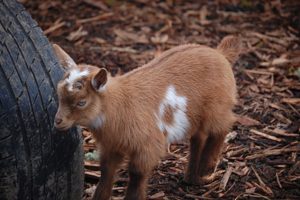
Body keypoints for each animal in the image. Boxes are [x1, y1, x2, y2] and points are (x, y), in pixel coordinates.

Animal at [53, 36, 241, 200]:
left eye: (82, 102)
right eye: (59, 94)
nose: (58, 121)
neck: (119, 105)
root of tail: (220, 53)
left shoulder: (147, 145)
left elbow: (137, 174)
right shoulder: (111, 146)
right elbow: (106, 172)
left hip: (217, 106)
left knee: (223, 126)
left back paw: (206, 168)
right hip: (196, 116)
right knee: (199, 137)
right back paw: (193, 178)